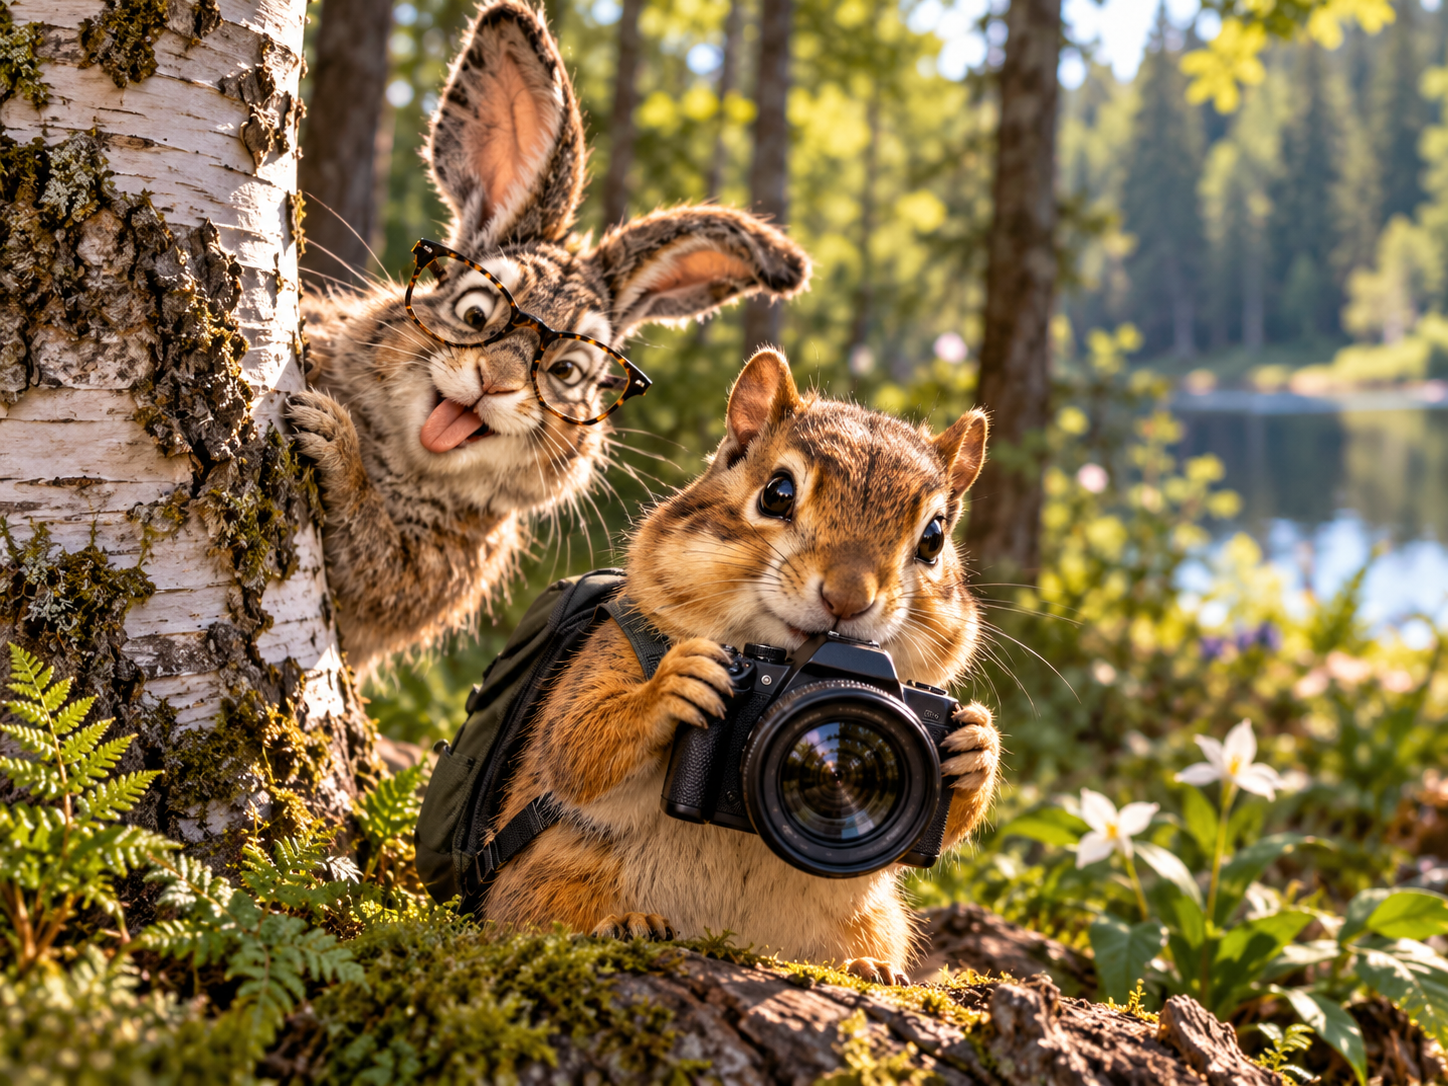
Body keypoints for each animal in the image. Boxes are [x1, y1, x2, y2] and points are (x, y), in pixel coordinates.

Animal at [287, 1, 810, 674]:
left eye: (567, 372)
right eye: (476, 313)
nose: (494, 382)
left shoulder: (408, 580)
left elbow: (369, 550)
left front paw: (333, 442)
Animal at [480, 347, 1002, 984]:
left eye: (934, 537)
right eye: (776, 493)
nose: (848, 598)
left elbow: (945, 827)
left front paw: (976, 745)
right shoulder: (617, 646)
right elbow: (576, 741)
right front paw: (674, 687)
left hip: (872, 919)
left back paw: (870, 967)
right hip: (550, 878)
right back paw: (625, 923)